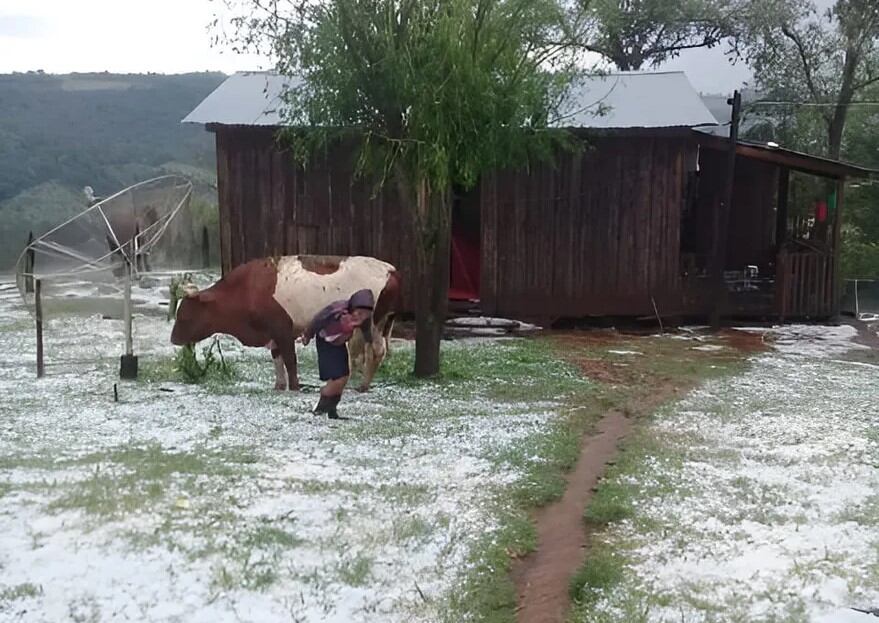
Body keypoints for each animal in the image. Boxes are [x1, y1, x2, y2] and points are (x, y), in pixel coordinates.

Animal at [171, 256, 402, 392]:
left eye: (184, 315)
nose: (173, 338)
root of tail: (390, 269)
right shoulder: (272, 333)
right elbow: (277, 358)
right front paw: (279, 385)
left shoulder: (283, 329)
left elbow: (290, 360)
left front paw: (295, 386)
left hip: (371, 324)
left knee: (374, 351)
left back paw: (362, 385)